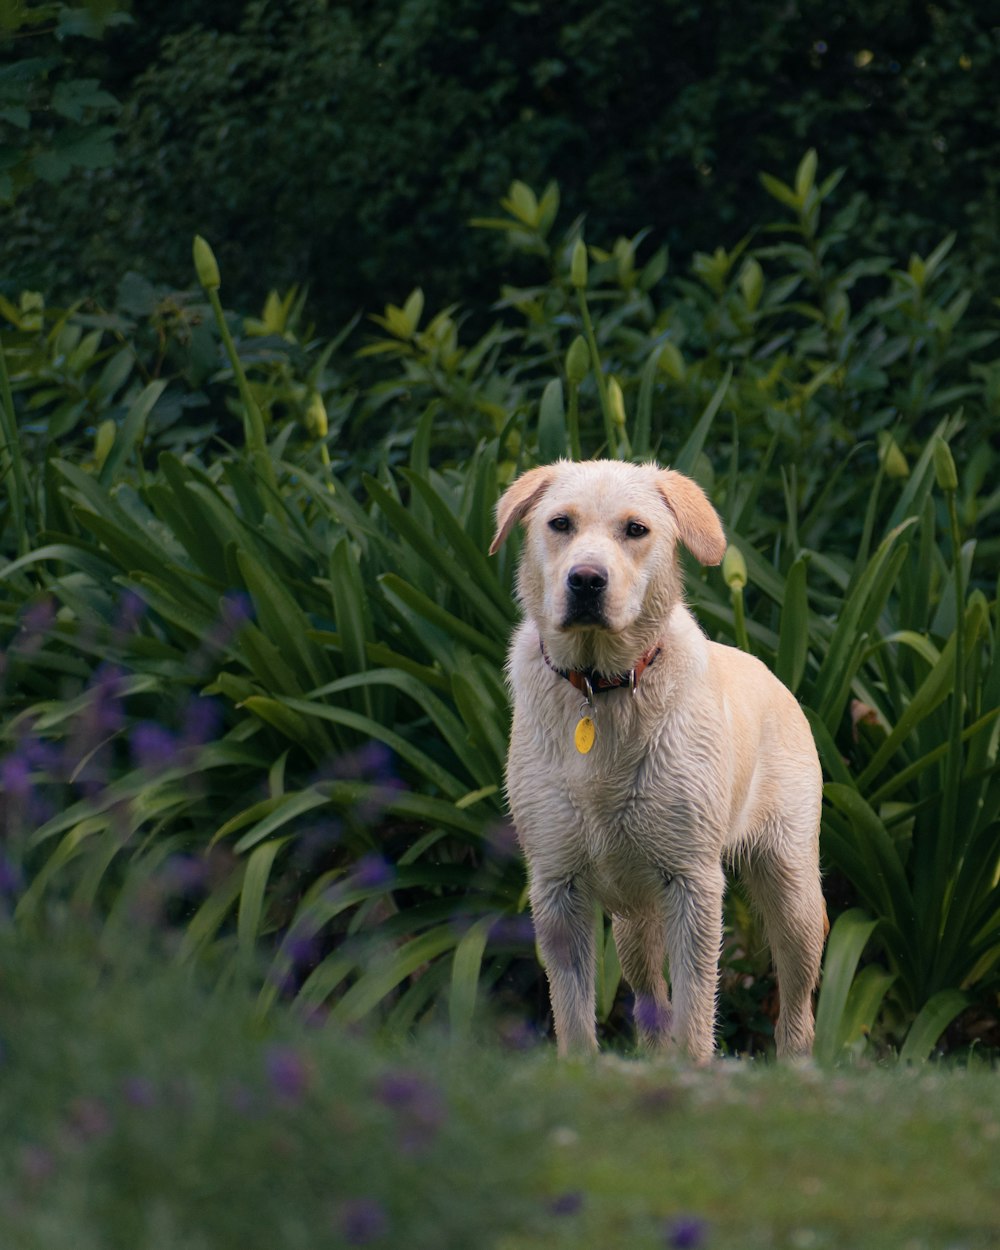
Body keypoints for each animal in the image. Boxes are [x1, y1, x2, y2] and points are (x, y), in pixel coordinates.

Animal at [487, 462, 825, 1065]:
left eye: (636, 529)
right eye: (560, 523)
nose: (586, 580)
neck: (601, 686)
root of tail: (775, 677)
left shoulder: (693, 883)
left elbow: (696, 1008)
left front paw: (694, 1073)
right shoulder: (556, 886)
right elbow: (574, 1015)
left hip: (793, 893)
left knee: (797, 1002)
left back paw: (795, 1071)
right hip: (632, 921)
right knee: (650, 1000)